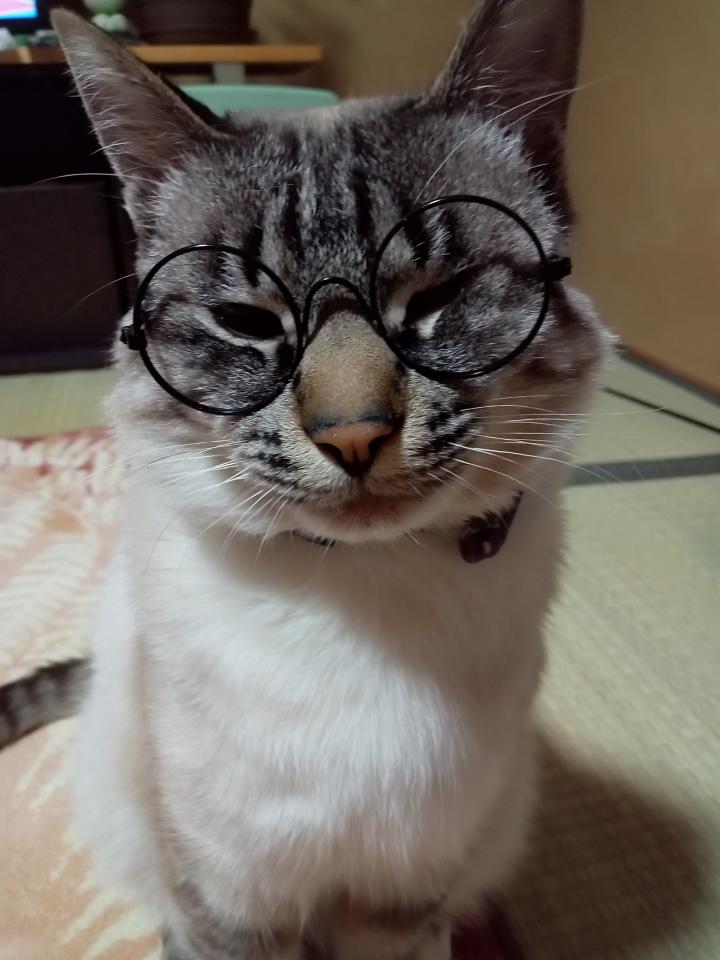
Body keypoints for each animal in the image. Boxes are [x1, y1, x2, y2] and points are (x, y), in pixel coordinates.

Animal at [1, 1, 610, 957]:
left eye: (437, 297)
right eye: (247, 321)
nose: (352, 433)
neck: (359, 596)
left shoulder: (401, 901)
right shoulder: (233, 903)